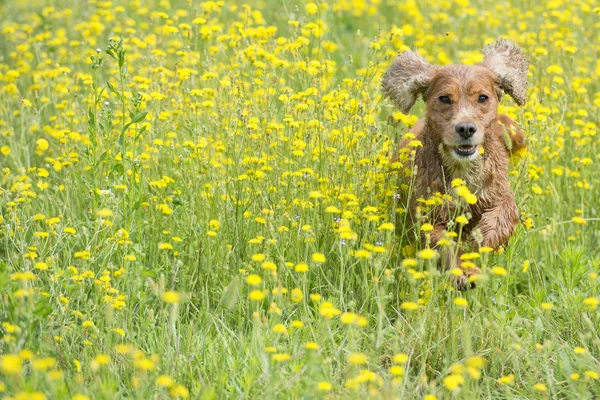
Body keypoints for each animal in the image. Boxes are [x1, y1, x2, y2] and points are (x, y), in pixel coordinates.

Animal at [384, 39, 528, 290]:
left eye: (482, 98)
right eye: (444, 98)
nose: (466, 128)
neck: (463, 170)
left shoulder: (499, 193)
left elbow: (506, 214)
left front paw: (482, 238)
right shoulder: (428, 216)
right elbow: (444, 243)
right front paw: (465, 271)